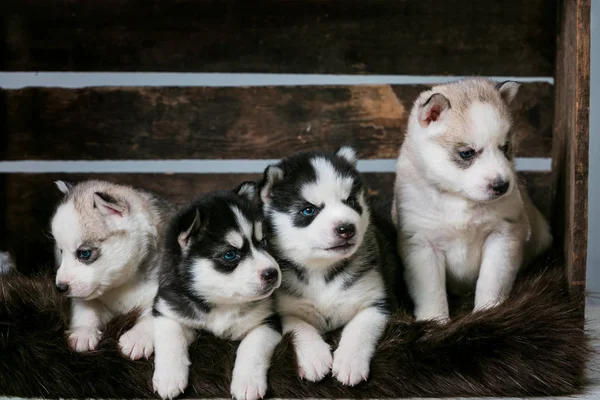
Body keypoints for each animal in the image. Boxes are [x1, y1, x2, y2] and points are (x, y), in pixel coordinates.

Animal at [51, 180, 173, 360]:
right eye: (61, 251)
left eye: (84, 253)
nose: (60, 287)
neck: (123, 283)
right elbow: (84, 305)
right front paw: (83, 331)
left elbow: (154, 316)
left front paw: (138, 337)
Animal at [150, 184, 282, 400]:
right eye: (230, 254)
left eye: (263, 242)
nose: (273, 273)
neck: (222, 303)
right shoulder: (167, 308)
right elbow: (171, 337)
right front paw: (169, 377)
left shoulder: (268, 319)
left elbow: (252, 346)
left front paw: (248, 382)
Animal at [256, 148, 394, 388]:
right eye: (308, 210)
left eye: (350, 201)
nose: (346, 228)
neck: (322, 270)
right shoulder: (285, 309)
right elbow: (299, 326)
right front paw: (314, 357)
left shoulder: (376, 301)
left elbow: (360, 328)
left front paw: (350, 361)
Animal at [394, 78, 552, 322]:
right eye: (467, 153)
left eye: (505, 147)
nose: (502, 186)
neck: (460, 200)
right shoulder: (422, 245)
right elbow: (431, 291)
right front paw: (434, 322)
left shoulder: (503, 235)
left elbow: (491, 281)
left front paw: (488, 312)